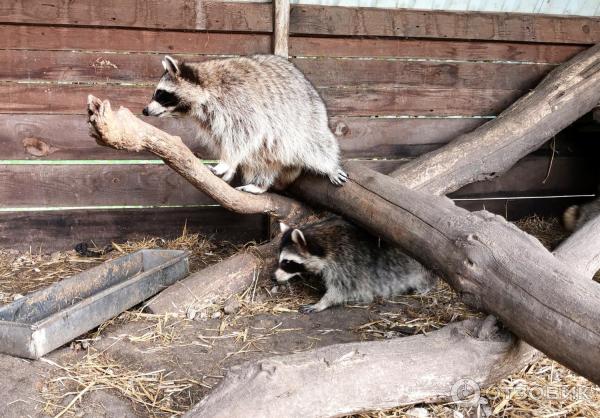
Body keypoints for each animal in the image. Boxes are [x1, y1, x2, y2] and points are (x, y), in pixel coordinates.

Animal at [142, 53, 346, 194]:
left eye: (161, 94)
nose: (145, 110)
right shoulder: (210, 120)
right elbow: (226, 140)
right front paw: (231, 165)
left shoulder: (238, 100)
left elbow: (244, 133)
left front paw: (227, 162)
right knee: (263, 161)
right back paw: (260, 184)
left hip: (306, 121)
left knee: (316, 145)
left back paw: (330, 165)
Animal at [274, 217, 436, 312]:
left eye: (287, 262)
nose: (273, 277)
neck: (324, 243)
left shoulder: (346, 262)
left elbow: (342, 289)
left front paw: (322, 302)